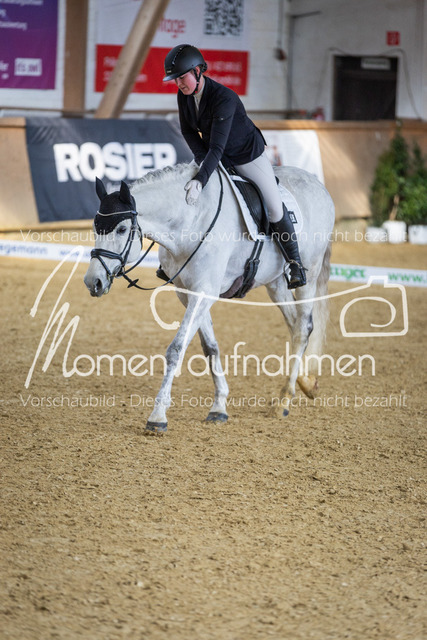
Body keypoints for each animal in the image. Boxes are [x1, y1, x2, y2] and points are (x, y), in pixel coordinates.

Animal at [84, 162, 335, 434]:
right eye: (95, 227)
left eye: (121, 229)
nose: (93, 282)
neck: (190, 220)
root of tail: (318, 184)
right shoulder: (188, 293)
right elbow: (210, 348)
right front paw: (218, 407)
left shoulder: (204, 291)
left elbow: (176, 349)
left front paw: (158, 416)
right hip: (275, 282)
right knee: (294, 324)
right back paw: (305, 383)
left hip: (308, 273)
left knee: (303, 328)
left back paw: (284, 401)